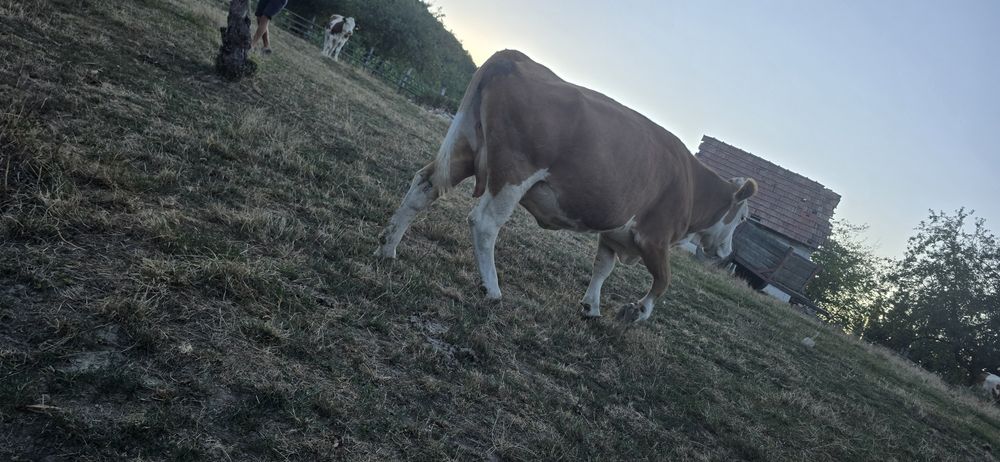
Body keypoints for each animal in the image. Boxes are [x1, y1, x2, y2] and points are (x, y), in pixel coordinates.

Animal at [374, 50, 757, 323]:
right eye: (741, 219)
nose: (727, 254)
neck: (693, 185)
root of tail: (515, 57)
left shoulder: (615, 232)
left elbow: (603, 268)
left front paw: (592, 307)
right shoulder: (655, 237)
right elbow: (663, 282)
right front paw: (636, 312)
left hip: (465, 150)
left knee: (424, 187)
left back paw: (388, 247)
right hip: (513, 172)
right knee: (484, 223)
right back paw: (492, 288)